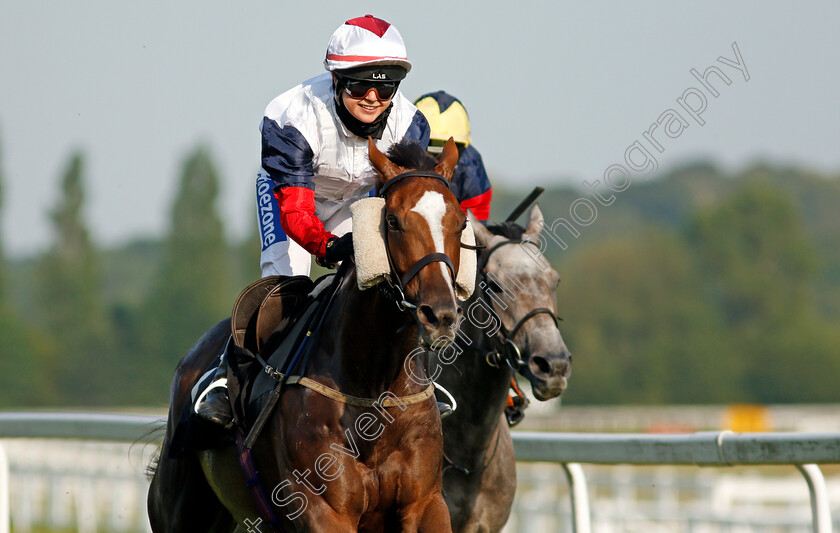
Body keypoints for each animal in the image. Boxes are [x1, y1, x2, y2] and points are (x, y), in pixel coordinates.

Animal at [148, 138, 472, 532]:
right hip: (180, 506)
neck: (374, 389)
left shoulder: (425, 503)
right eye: (393, 221)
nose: (440, 315)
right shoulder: (321, 510)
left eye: (460, 223)